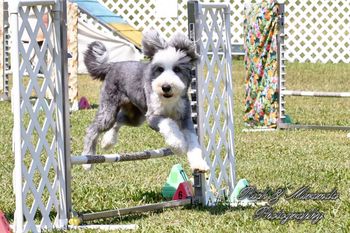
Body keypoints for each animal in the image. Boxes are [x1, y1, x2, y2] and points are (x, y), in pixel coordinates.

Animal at [82, 29, 208, 171]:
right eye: (160, 69)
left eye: (177, 69)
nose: (166, 87)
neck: (169, 101)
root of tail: (112, 65)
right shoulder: (152, 116)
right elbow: (168, 123)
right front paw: (179, 146)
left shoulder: (185, 117)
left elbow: (193, 140)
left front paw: (199, 164)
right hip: (109, 109)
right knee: (92, 129)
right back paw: (88, 161)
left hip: (135, 117)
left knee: (118, 120)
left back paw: (107, 142)